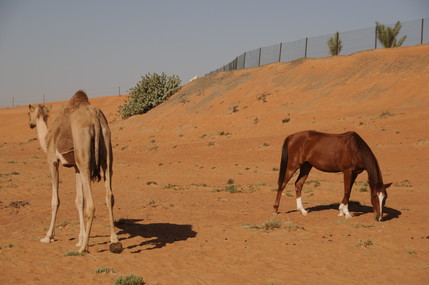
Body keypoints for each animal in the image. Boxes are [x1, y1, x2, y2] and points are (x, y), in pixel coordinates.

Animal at [27, 90, 121, 252]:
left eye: (29, 113)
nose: (30, 124)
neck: (46, 138)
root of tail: (94, 117)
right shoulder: (76, 167)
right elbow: (79, 200)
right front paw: (80, 237)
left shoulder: (52, 161)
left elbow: (55, 200)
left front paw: (48, 236)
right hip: (106, 150)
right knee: (109, 195)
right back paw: (113, 239)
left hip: (84, 158)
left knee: (91, 204)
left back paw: (83, 248)